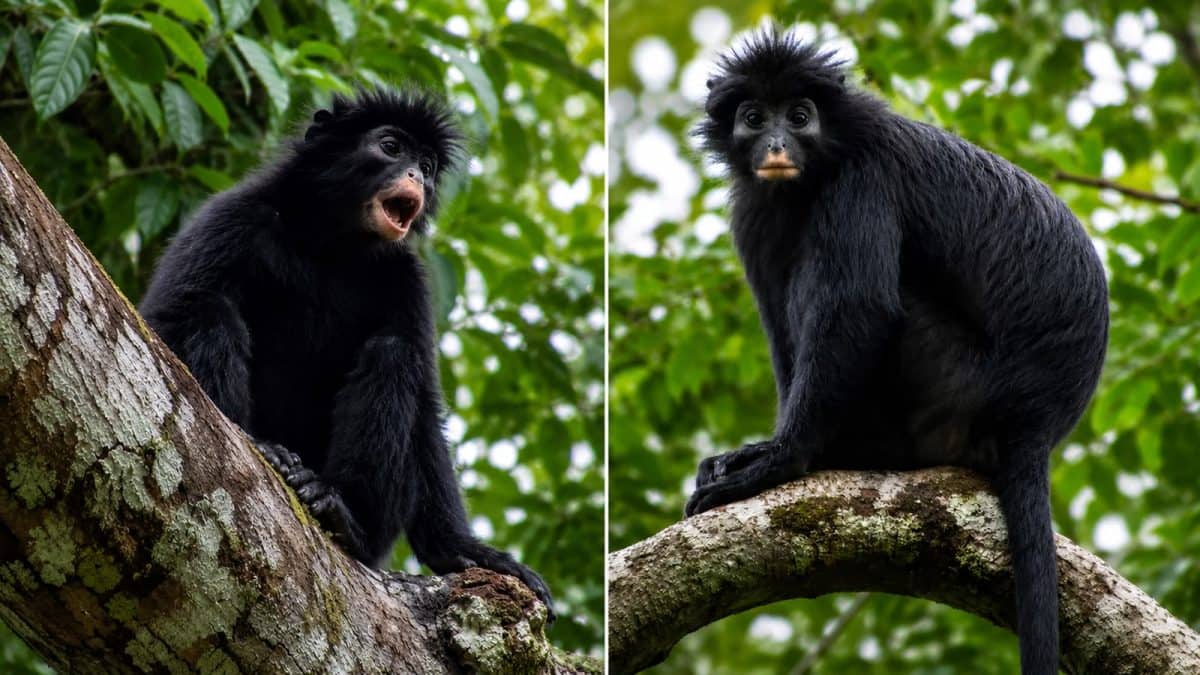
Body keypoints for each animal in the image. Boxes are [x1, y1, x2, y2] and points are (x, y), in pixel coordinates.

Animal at [139, 87, 554, 618]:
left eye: (428, 165)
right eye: (392, 147)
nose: (417, 177)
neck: (330, 247)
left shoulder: (405, 277)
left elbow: (426, 407)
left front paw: (466, 551)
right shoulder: (230, 216)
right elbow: (164, 318)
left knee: (394, 354)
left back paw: (343, 516)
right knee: (209, 308)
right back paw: (265, 448)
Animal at [686, 31, 1107, 674]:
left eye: (800, 117)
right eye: (754, 119)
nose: (777, 144)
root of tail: (1035, 422)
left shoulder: (863, 179)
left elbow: (860, 307)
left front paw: (781, 459)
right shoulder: (755, 215)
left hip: (948, 380)